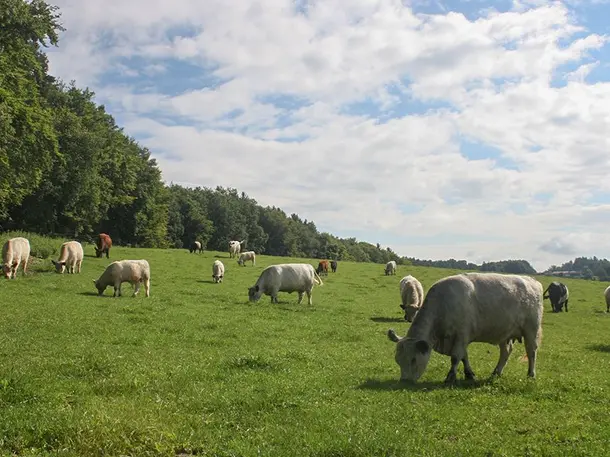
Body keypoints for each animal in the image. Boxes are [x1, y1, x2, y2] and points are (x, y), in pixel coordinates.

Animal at [384, 272, 540, 382]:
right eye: (398, 360)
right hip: (504, 333)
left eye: (413, 360)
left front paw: (450, 377)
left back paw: (531, 374)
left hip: (531, 330)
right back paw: (496, 372)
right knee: (506, 352)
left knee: (531, 352)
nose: (404, 381)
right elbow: (464, 356)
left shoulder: (461, 335)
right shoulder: (458, 339)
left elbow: (456, 357)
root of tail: (532, 281)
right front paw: (469, 374)